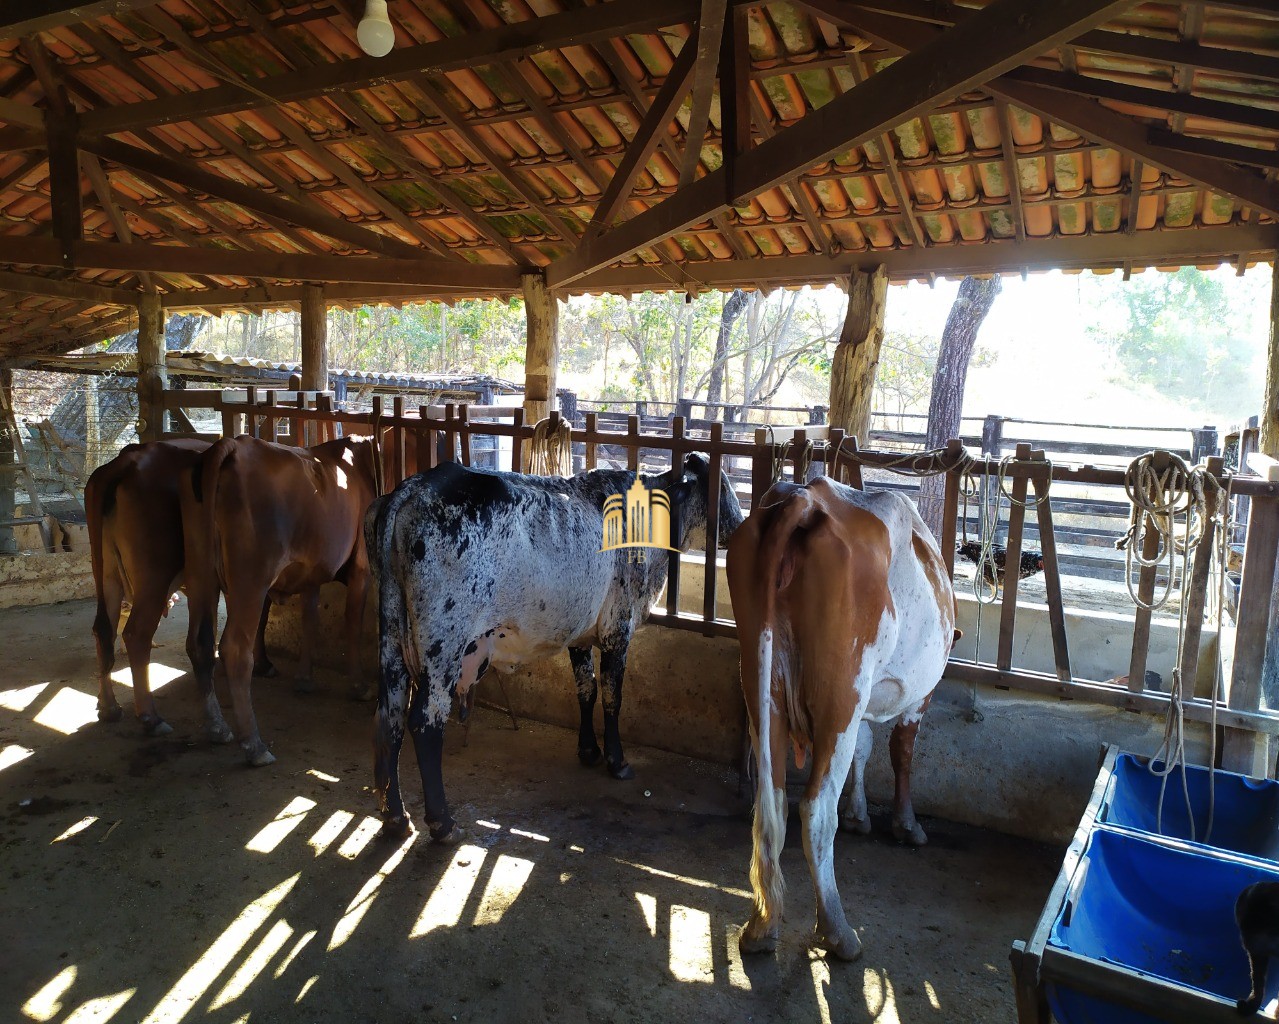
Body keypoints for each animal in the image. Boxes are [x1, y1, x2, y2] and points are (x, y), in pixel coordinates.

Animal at [85, 439, 277, 736]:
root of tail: (126, 460)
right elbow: (257, 619)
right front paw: (263, 664)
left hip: (106, 574)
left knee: (103, 629)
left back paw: (109, 707)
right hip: (155, 576)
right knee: (136, 634)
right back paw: (151, 718)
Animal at [182, 434, 378, 767]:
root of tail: (234, 445)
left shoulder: (313, 570)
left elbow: (310, 618)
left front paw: (304, 679)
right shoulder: (361, 567)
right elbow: (352, 622)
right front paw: (359, 685)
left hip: (201, 576)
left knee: (199, 643)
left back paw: (218, 727)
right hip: (250, 579)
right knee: (234, 648)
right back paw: (254, 745)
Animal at [365, 455, 746, 838]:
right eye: (722, 486)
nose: (740, 527)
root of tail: (412, 488)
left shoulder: (580, 635)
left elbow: (586, 690)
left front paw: (588, 750)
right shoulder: (618, 629)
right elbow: (612, 697)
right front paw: (617, 760)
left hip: (392, 640)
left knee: (389, 717)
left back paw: (396, 815)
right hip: (443, 646)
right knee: (424, 723)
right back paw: (441, 821)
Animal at [726, 478, 956, 961]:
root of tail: (806, 497)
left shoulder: (863, 708)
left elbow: (865, 751)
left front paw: (860, 813)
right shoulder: (918, 698)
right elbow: (901, 753)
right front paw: (906, 824)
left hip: (761, 683)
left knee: (774, 802)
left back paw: (762, 926)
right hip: (841, 694)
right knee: (814, 808)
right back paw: (837, 930)